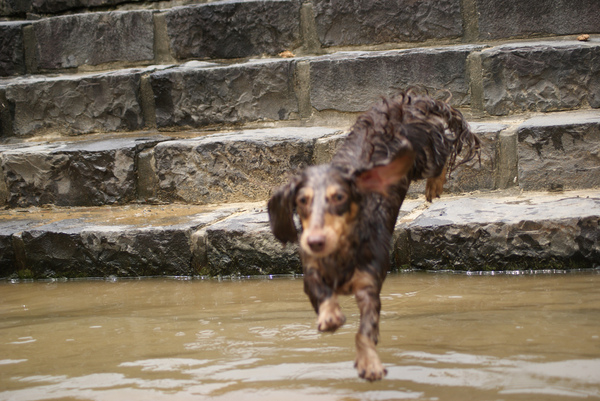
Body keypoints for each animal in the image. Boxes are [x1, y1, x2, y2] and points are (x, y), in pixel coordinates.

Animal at [268, 90, 478, 382]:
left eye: (339, 197)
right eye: (301, 200)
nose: (314, 242)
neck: (342, 254)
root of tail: (406, 104)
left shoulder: (369, 286)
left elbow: (365, 331)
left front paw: (369, 363)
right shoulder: (311, 275)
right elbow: (321, 293)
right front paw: (330, 316)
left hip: (424, 155)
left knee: (443, 151)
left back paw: (434, 184)